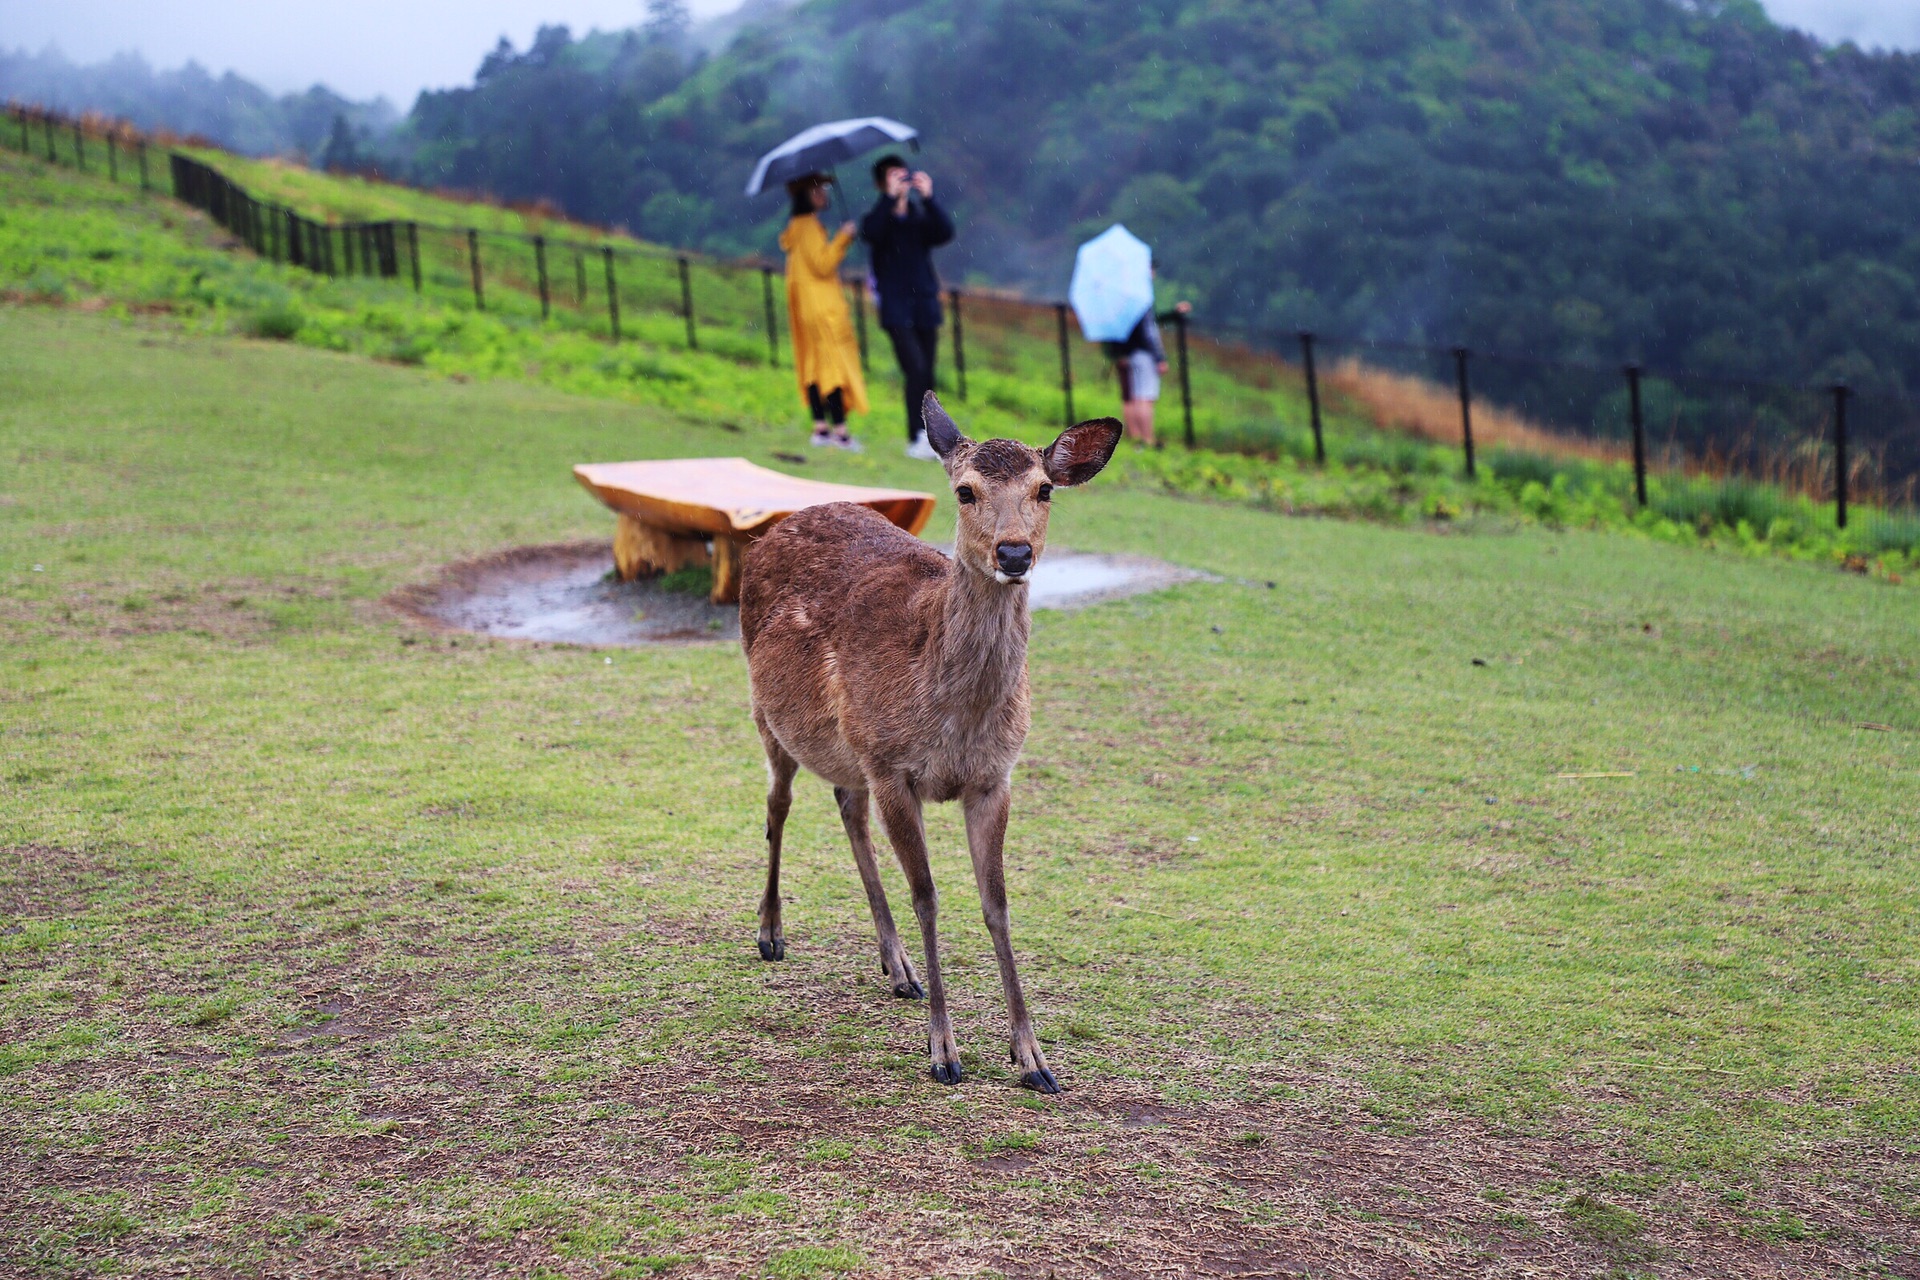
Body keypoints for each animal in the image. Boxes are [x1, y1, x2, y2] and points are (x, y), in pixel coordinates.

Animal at [737, 391, 1121, 1090]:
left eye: (1045, 488)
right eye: (965, 490)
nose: (1014, 553)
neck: (950, 716)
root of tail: (770, 528)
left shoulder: (993, 777)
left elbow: (996, 902)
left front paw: (1034, 1058)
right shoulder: (893, 767)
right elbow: (929, 896)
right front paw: (944, 1052)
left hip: (848, 750)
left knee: (847, 807)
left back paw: (898, 968)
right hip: (769, 715)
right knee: (778, 805)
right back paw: (771, 932)